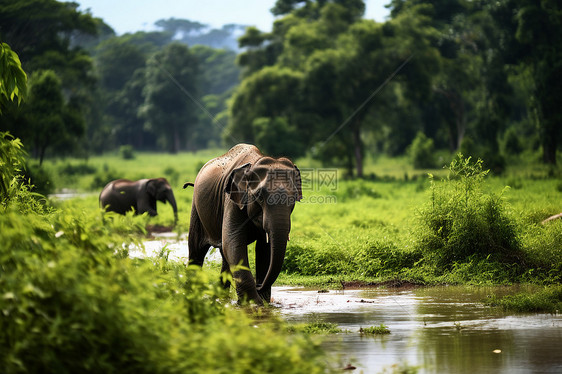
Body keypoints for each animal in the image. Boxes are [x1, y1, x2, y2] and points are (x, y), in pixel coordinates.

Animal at [184, 143, 300, 304]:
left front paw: (263, 302)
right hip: (196, 209)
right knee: (196, 251)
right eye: (259, 196)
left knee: (224, 255)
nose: (259, 286)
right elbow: (233, 241)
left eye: (294, 198)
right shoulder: (232, 200)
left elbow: (264, 249)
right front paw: (254, 304)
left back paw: (222, 298)